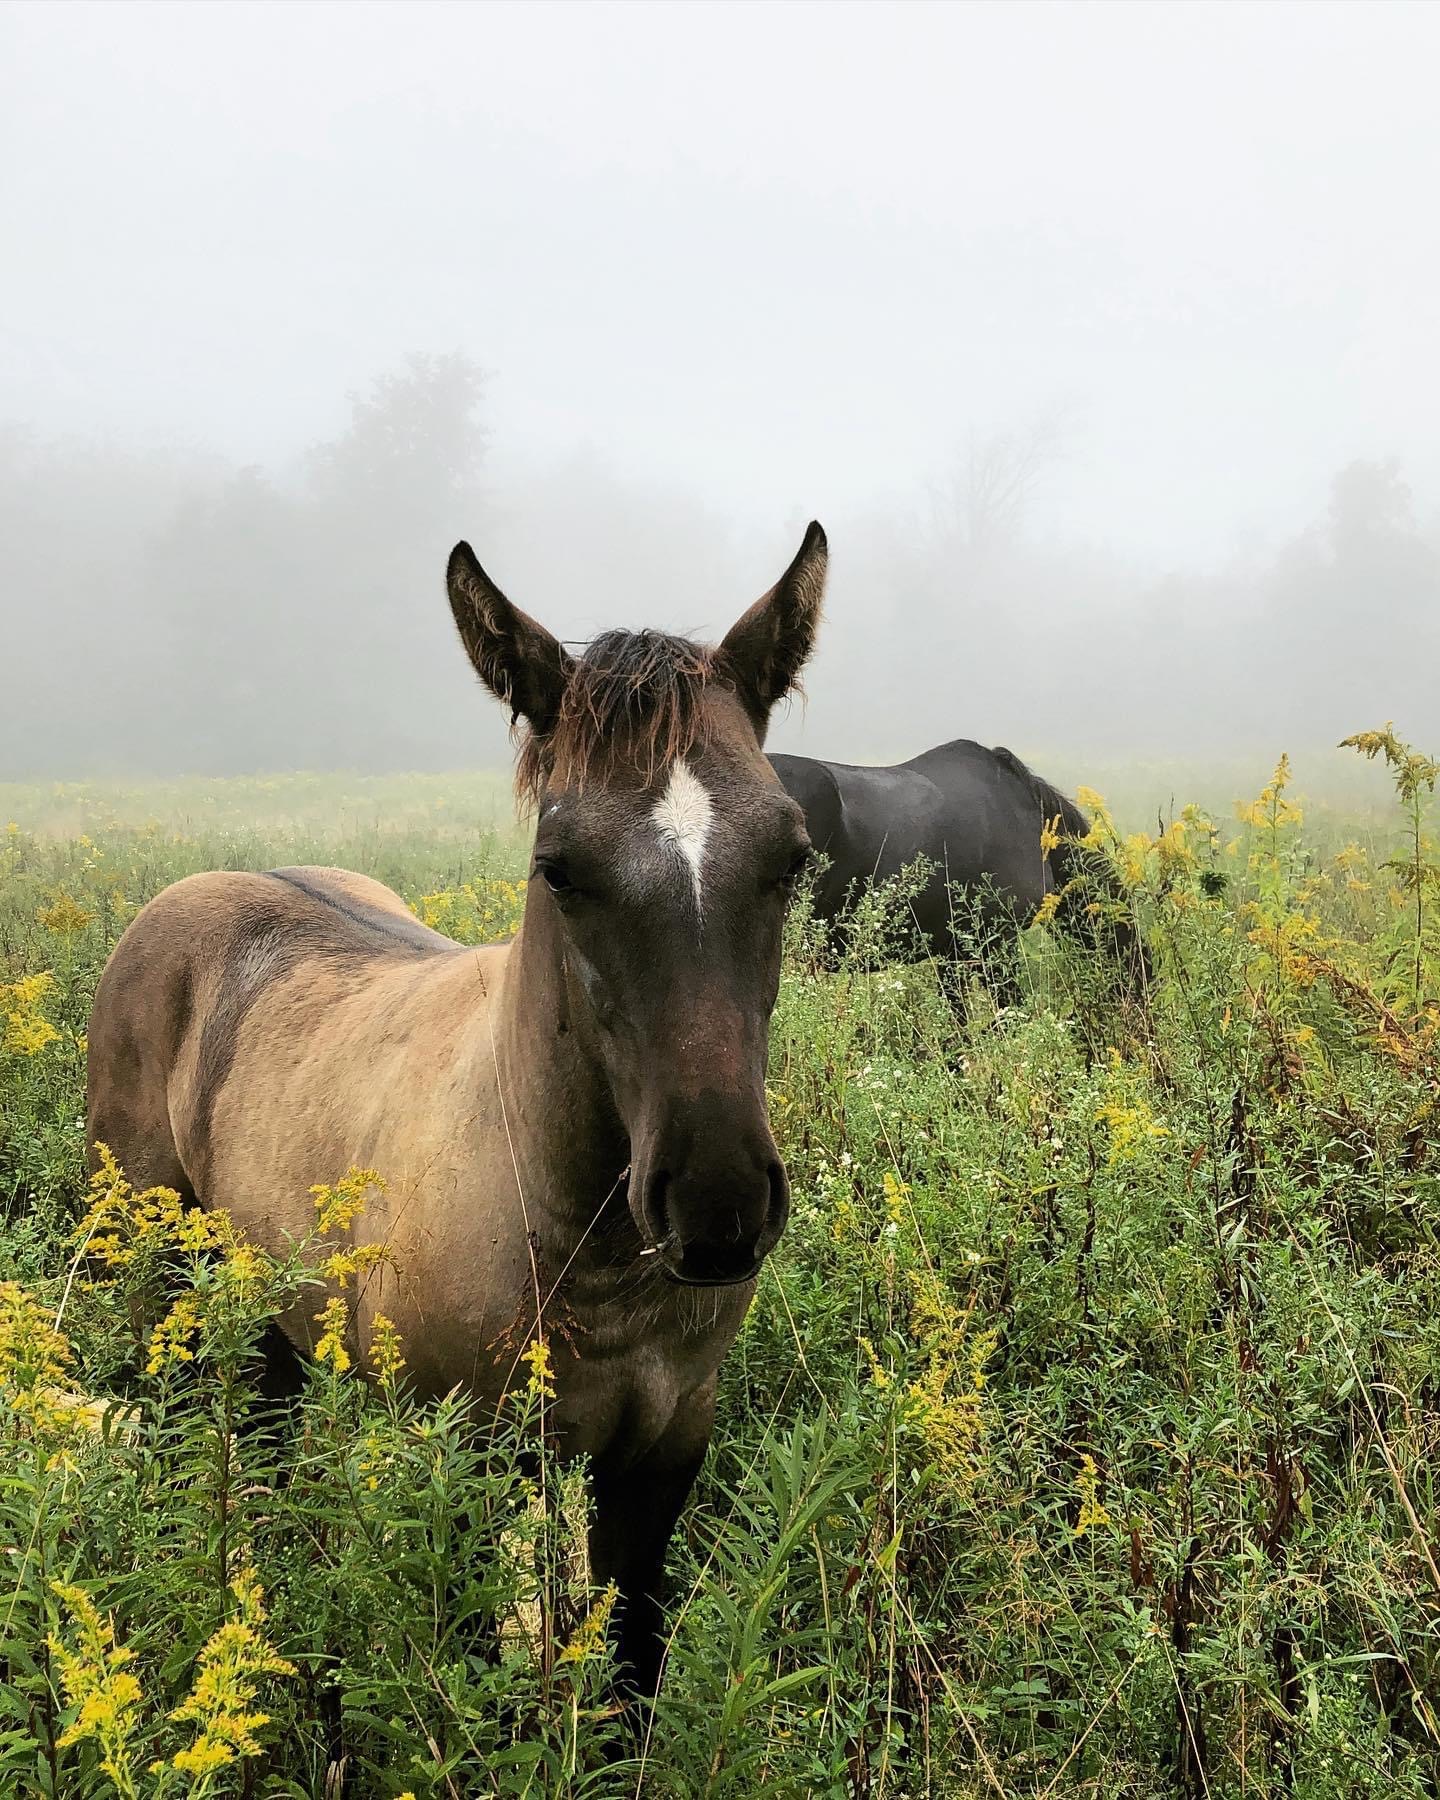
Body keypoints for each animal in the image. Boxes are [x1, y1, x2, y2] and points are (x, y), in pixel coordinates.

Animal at [90, 518, 828, 1684]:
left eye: (793, 859)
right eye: (558, 867)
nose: (717, 1204)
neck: (580, 1250)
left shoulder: (658, 1464)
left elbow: (632, 1671)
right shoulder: (468, 1471)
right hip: (153, 1286)